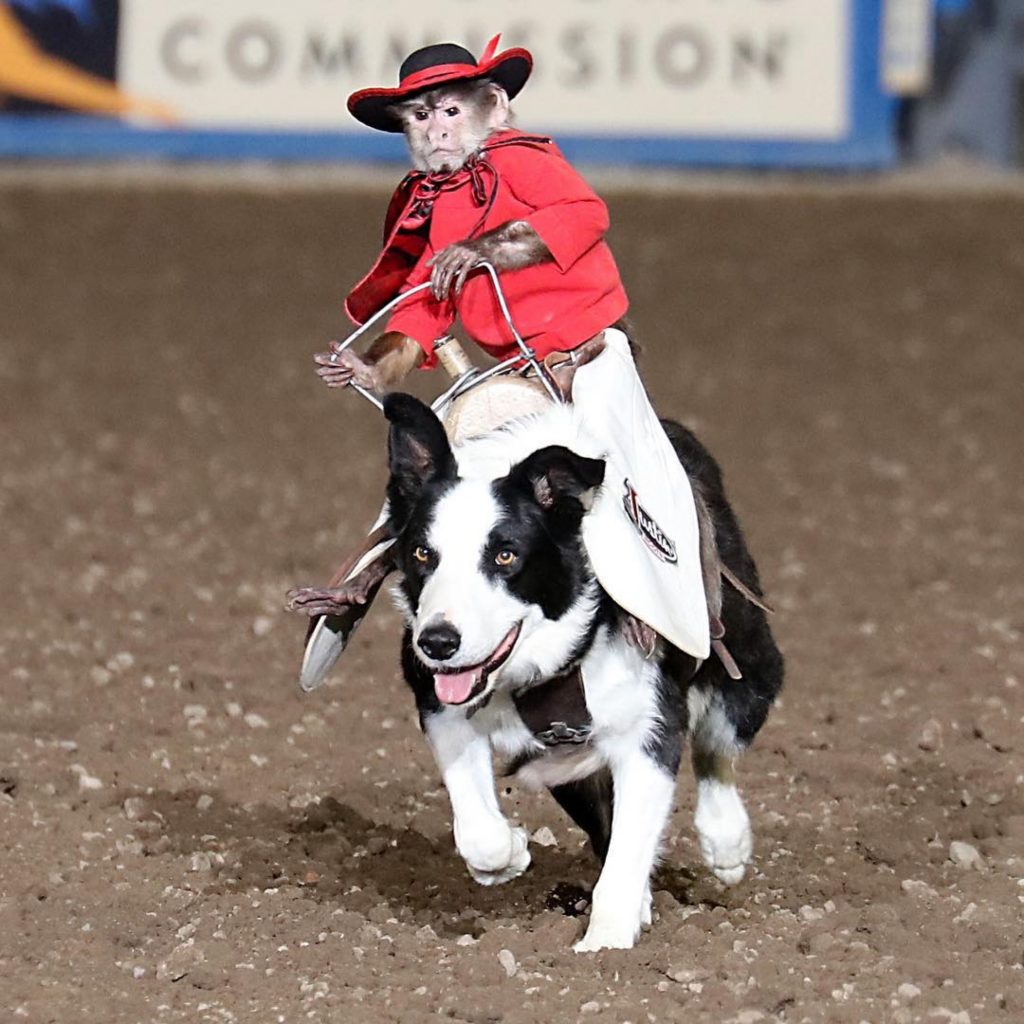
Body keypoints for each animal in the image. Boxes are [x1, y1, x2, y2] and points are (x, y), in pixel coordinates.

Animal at [380, 391, 778, 950]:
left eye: (506, 556)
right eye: (421, 553)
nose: (437, 642)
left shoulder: (650, 728)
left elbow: (630, 847)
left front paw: (605, 945)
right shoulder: (439, 702)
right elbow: (480, 830)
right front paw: (510, 854)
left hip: (745, 654)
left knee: (719, 741)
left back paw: (726, 843)